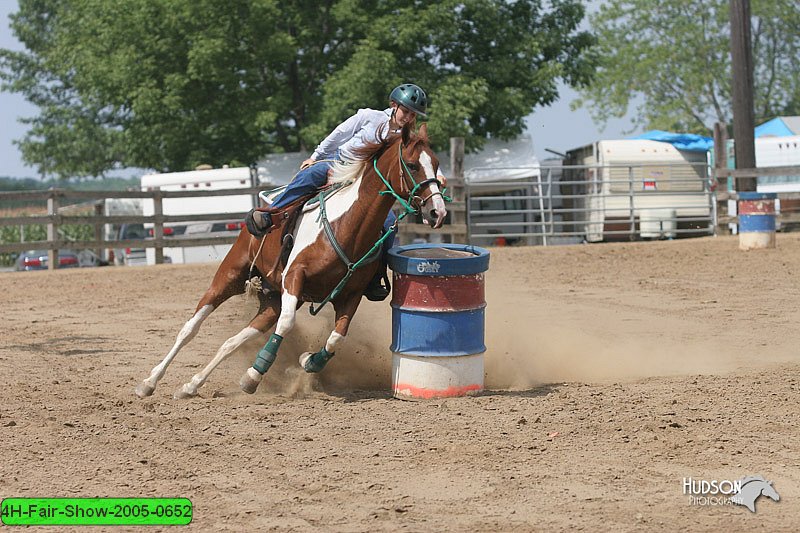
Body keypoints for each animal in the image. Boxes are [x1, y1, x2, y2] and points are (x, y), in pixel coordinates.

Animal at [138, 123, 450, 400]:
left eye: (436, 163)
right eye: (412, 165)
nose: (437, 212)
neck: (347, 226)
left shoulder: (350, 294)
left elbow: (337, 337)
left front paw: (308, 361)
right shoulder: (294, 277)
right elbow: (287, 324)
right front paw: (254, 374)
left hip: (271, 298)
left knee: (232, 341)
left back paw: (191, 385)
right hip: (232, 274)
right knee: (190, 328)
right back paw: (149, 382)